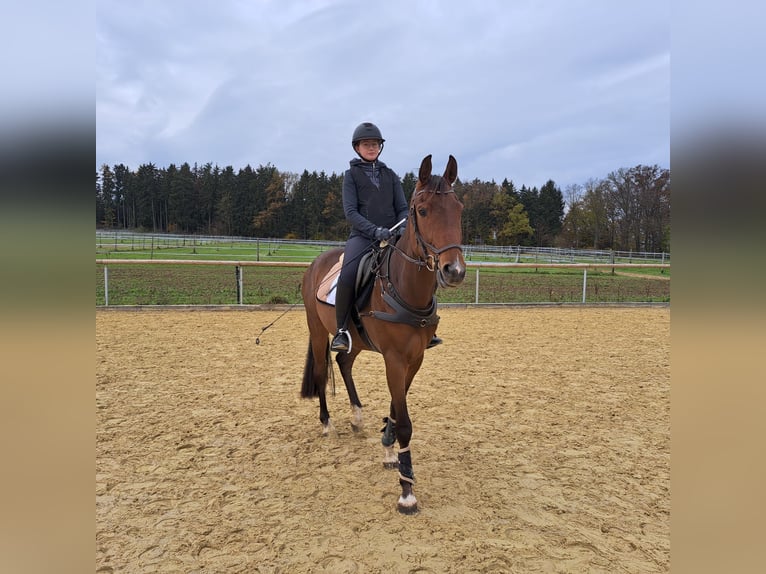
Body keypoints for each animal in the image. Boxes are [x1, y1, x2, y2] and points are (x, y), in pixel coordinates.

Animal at [300, 155, 468, 516]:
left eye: (458, 209)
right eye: (422, 211)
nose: (454, 271)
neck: (406, 288)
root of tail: (317, 263)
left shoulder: (414, 359)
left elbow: (395, 406)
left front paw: (389, 448)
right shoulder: (393, 359)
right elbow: (404, 421)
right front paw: (406, 491)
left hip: (358, 340)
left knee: (344, 361)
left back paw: (357, 417)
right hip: (317, 329)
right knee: (322, 371)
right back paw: (327, 424)